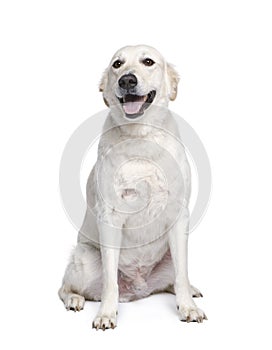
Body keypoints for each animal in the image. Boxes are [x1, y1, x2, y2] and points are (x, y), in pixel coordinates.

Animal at [59, 45, 206, 330]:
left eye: (148, 61)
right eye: (117, 64)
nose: (127, 80)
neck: (141, 138)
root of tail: (139, 289)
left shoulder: (178, 215)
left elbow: (182, 276)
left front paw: (188, 308)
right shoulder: (110, 217)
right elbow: (109, 283)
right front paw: (106, 314)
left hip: (170, 254)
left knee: (175, 278)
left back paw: (190, 291)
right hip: (85, 259)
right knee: (65, 287)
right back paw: (74, 299)